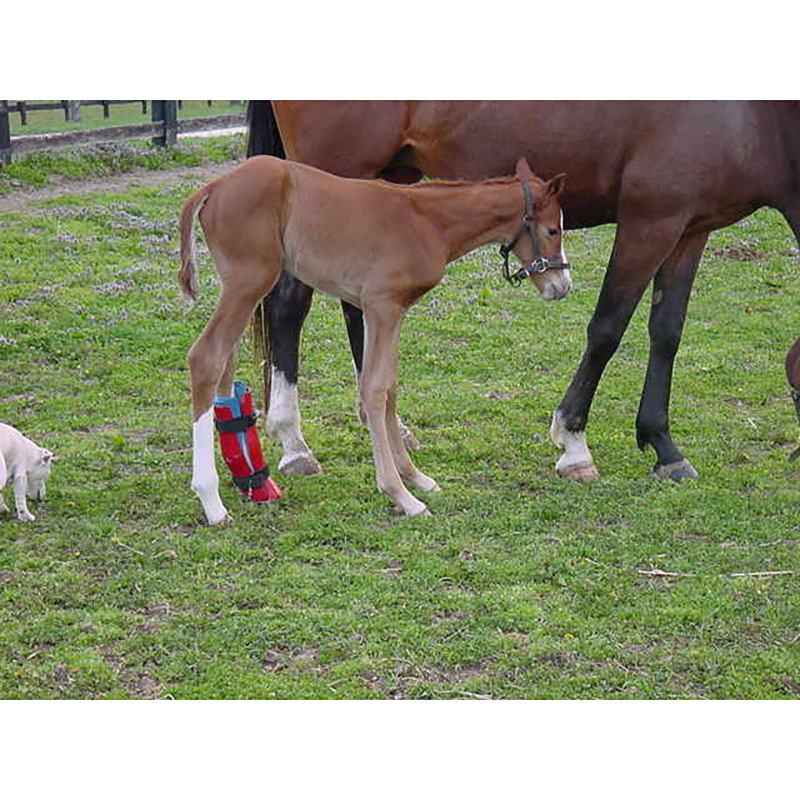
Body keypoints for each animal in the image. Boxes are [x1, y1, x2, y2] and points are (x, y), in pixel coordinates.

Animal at [179, 155, 568, 523]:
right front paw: (401, 494)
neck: (426, 221)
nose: (562, 285)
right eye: (552, 230)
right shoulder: (382, 305)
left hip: (243, 289)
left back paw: (251, 482)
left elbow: (390, 386)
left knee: (225, 368)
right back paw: (211, 500)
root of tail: (212, 186)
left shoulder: (391, 311)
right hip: (249, 282)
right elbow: (375, 389)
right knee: (206, 358)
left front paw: (416, 476)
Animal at [247, 100, 800, 483]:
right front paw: (573, 441)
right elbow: (607, 327)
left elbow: (666, 332)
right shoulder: (649, 222)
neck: (753, 115)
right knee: (290, 302)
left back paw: (385, 425)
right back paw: (294, 442)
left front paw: (663, 445)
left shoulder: (691, 229)